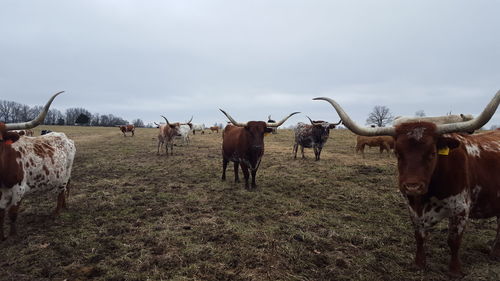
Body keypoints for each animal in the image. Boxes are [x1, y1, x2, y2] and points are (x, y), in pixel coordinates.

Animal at [0, 91, 76, 240]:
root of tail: (65, 137)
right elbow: (0, 216)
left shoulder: (19, 189)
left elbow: (12, 214)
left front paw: (13, 236)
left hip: (65, 175)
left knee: (61, 192)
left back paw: (57, 213)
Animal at [312, 90, 500, 276]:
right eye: (398, 153)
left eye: (432, 153)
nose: (412, 186)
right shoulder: (412, 207)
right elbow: (419, 236)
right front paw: (419, 264)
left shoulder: (460, 208)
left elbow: (453, 241)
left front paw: (454, 270)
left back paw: (493, 253)